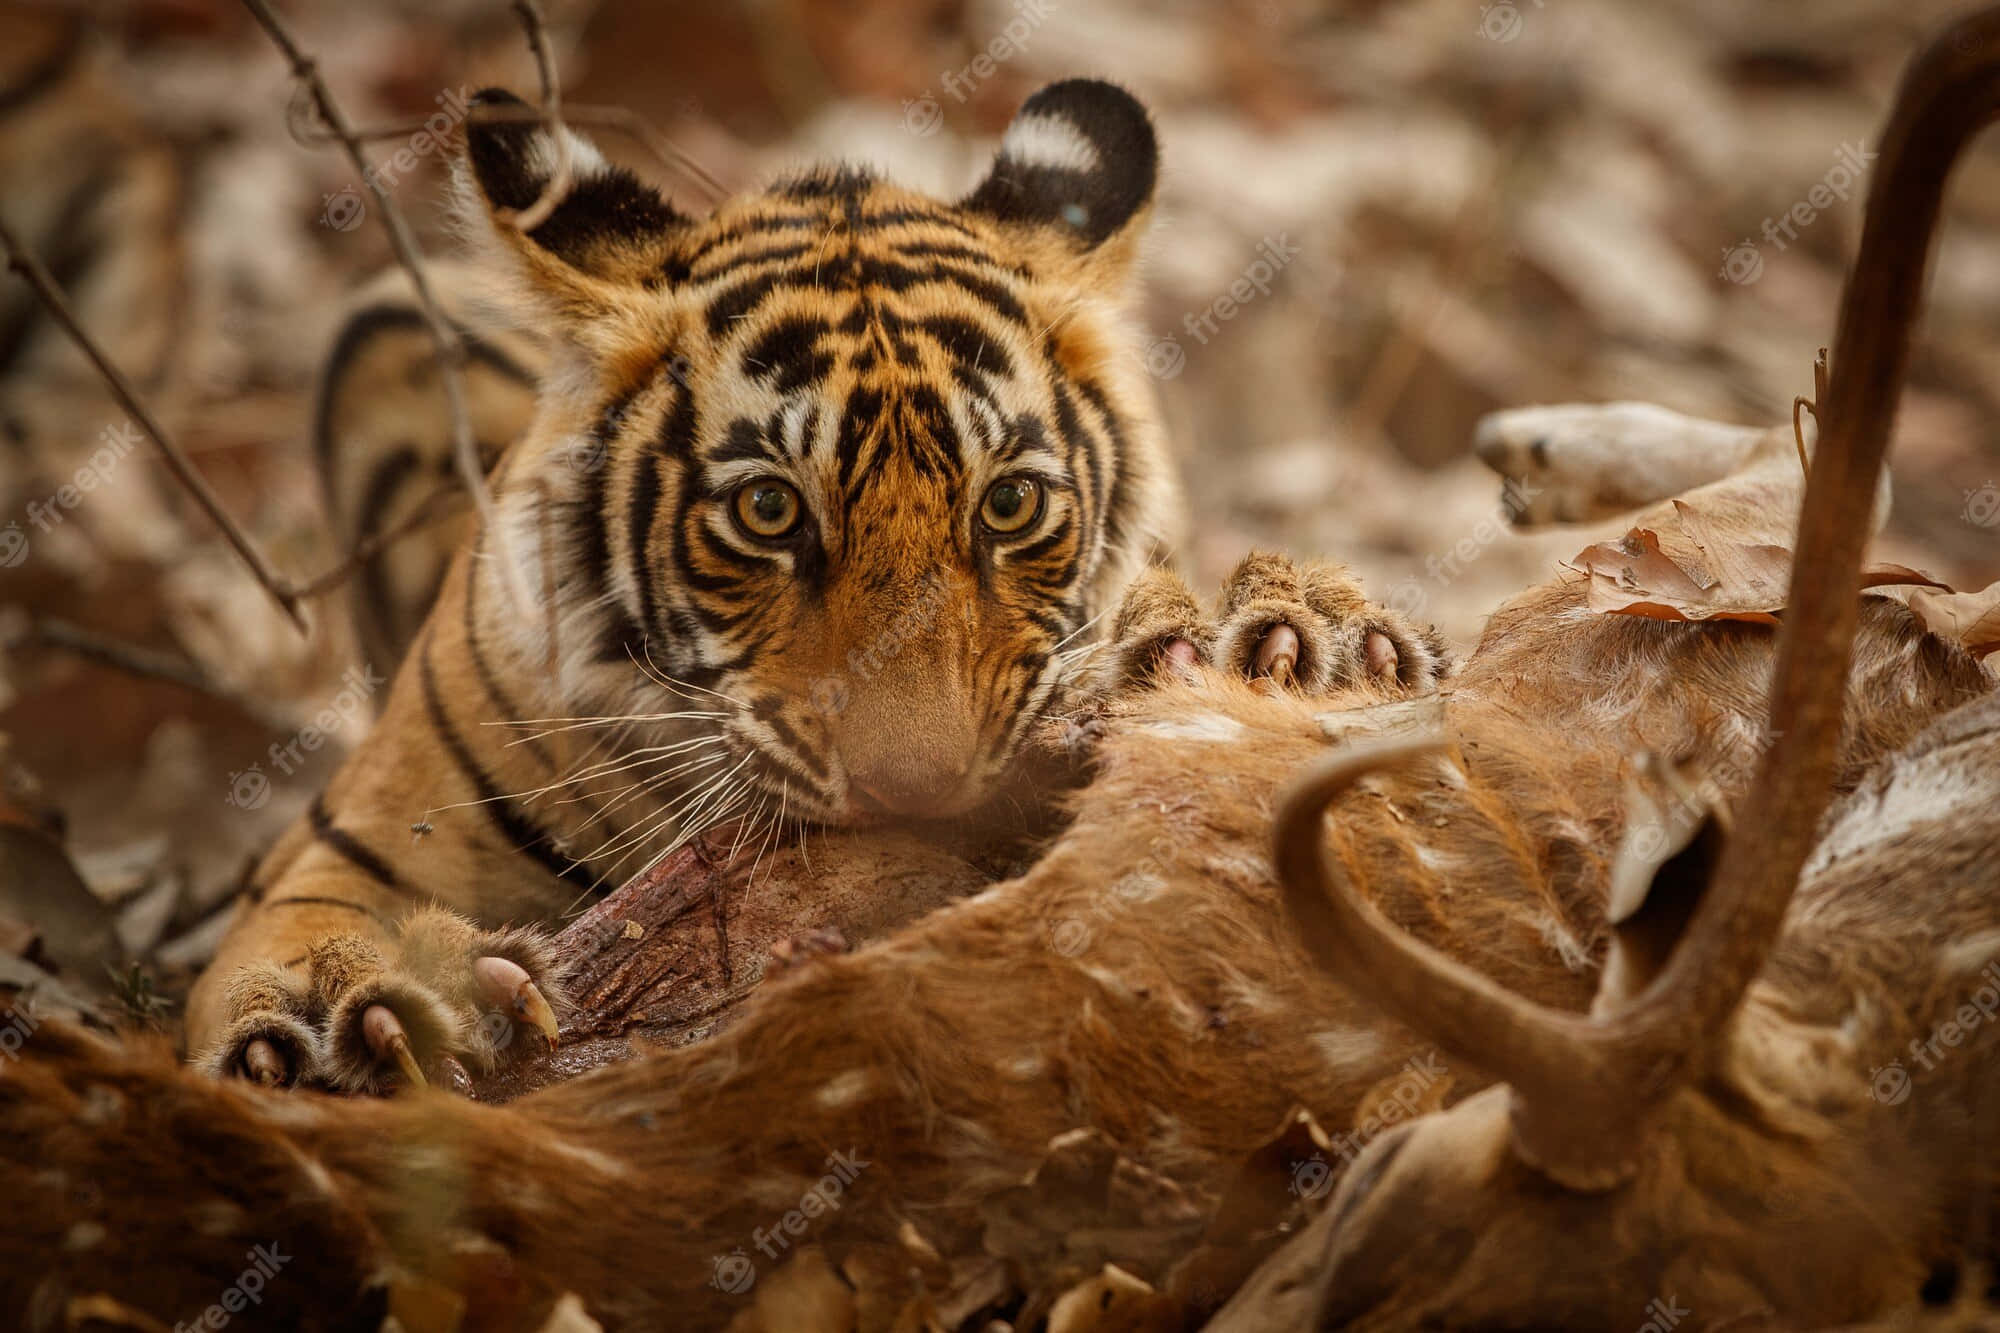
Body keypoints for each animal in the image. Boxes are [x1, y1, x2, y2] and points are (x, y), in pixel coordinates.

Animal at [1, 17, 1995, 1333]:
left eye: (1013, 502)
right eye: (767, 511)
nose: (920, 792)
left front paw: (1292, 627)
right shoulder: (345, 852)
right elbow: (288, 956)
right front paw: (341, 1026)